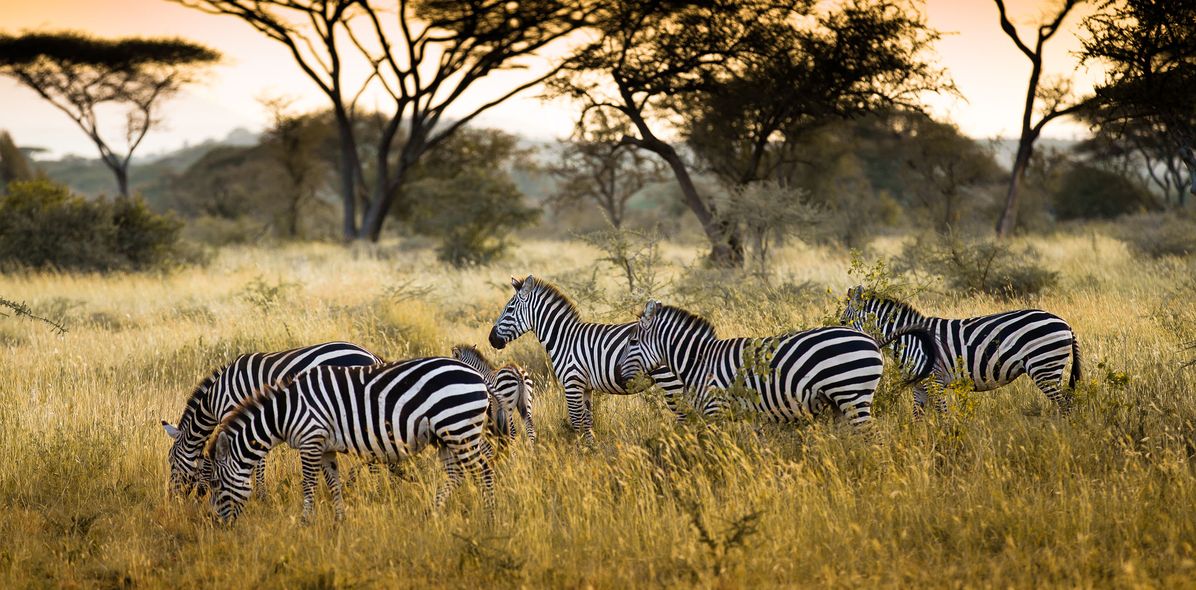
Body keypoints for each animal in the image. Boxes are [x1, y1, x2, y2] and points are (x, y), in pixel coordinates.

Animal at [161, 341, 381, 497]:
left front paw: (259, 494)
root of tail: (372, 356)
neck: (214, 399)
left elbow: (252, 459)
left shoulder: (234, 413)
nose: (173, 497)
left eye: (171, 460)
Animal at [205, 357, 505, 524]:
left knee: (483, 470)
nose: (215, 523)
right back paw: (431, 513)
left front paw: (304, 521)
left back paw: (490, 518)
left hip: (459, 427)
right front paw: (339, 521)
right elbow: (333, 483)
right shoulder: (324, 447)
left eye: (216, 484)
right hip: (446, 435)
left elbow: (309, 484)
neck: (285, 410)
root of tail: (478, 376)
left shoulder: (311, 439)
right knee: (456, 474)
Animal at [488, 275, 686, 443]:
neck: (564, 339)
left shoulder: (572, 383)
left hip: (670, 380)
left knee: (684, 416)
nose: (491, 339)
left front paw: (579, 454)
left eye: (509, 309)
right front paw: (591, 450)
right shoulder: (586, 388)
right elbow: (588, 421)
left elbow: (576, 422)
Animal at [616, 300, 939, 426]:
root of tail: (871, 340)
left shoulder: (716, 410)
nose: (619, 376)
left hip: (852, 393)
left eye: (632, 342)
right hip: (842, 400)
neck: (699, 361)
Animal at [840, 285, 1081, 415]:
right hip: (1049, 368)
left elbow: (943, 415)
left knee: (1066, 406)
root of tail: (1064, 322)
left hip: (1044, 368)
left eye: (843, 320)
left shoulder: (934, 381)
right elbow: (917, 417)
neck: (909, 339)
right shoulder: (919, 386)